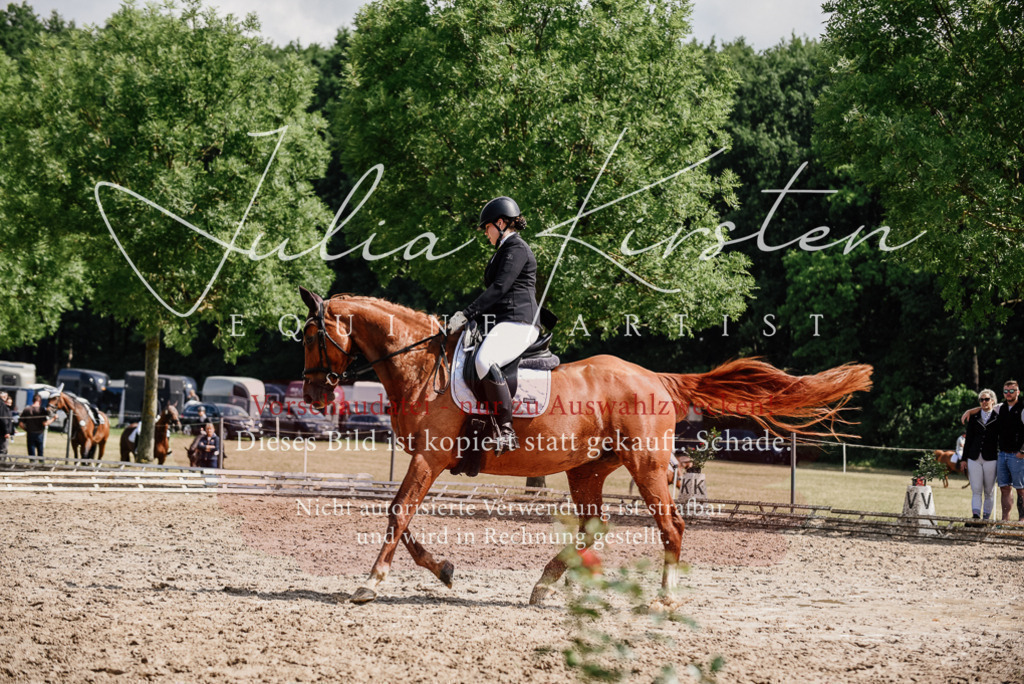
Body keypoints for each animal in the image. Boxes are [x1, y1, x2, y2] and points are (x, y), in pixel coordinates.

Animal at [298, 289, 873, 605]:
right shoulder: (427, 459)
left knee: (671, 526)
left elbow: (397, 513)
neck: (421, 366)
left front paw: (370, 584)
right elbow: (404, 517)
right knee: (593, 526)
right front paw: (442, 570)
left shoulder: (429, 457)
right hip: (588, 470)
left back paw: (665, 595)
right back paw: (549, 583)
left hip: (647, 466)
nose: (314, 394)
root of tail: (658, 379)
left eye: (308, 336)